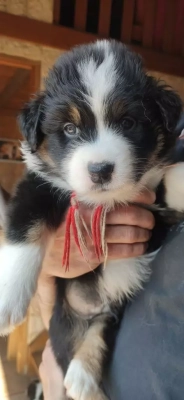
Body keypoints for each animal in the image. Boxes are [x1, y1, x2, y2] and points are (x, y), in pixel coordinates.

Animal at [0, 41, 184, 400]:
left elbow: (168, 182)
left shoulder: (150, 201)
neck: (104, 202)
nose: (100, 170)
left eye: (128, 122)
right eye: (69, 129)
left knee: (101, 329)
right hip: (64, 317)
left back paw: (83, 377)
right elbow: (25, 230)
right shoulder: (38, 187)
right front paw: (7, 301)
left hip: (111, 310)